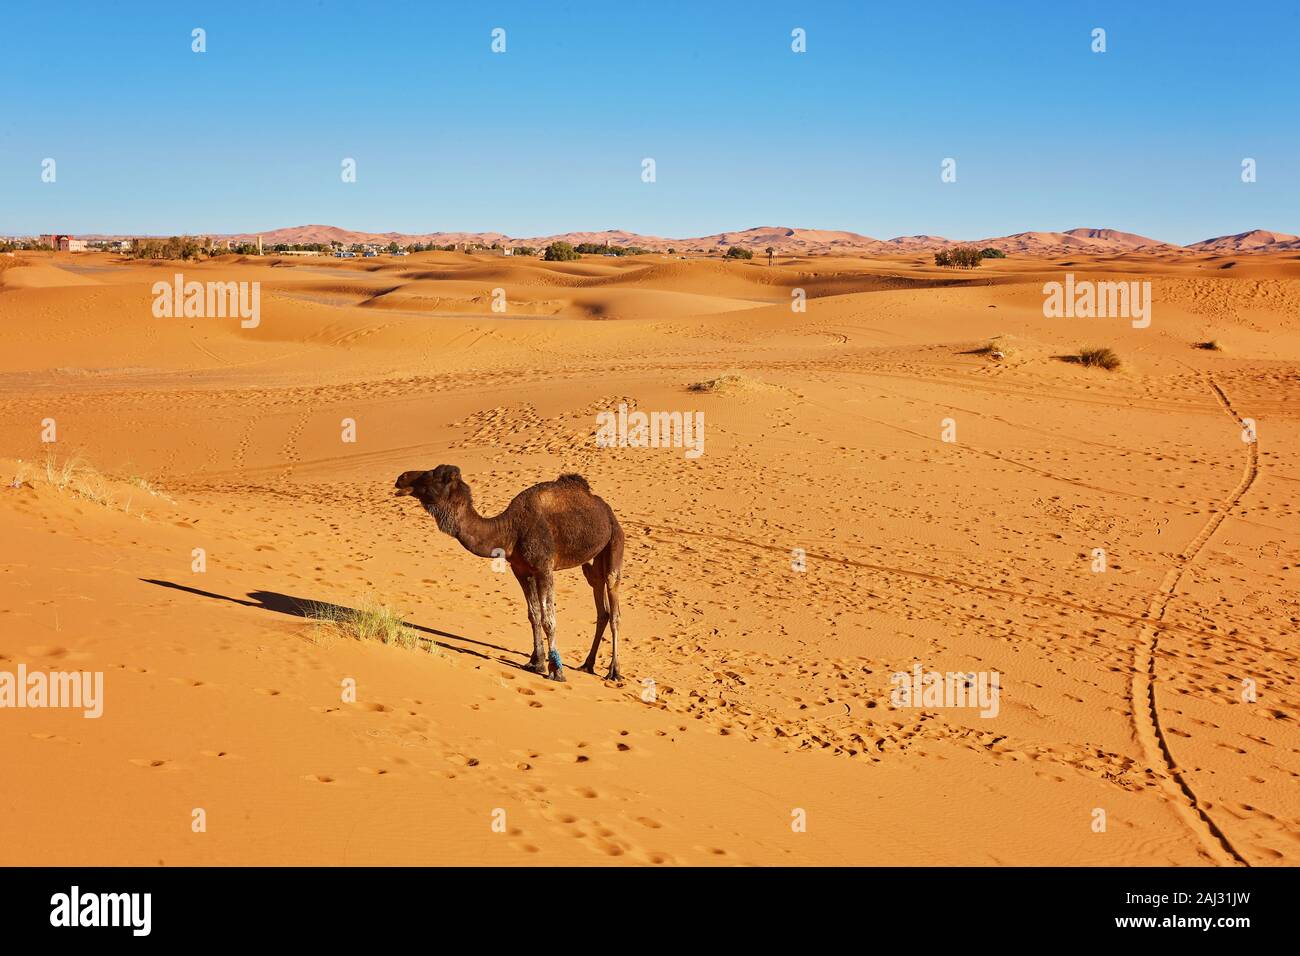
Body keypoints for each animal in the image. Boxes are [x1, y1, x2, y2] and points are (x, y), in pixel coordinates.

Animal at [390, 468, 624, 681]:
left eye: (432, 475)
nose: (401, 477)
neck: (511, 530)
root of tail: (608, 512)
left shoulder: (544, 568)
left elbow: (549, 619)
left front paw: (556, 670)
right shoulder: (521, 570)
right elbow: (534, 614)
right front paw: (536, 662)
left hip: (615, 542)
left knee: (614, 606)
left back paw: (614, 672)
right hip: (591, 562)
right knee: (600, 601)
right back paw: (587, 665)